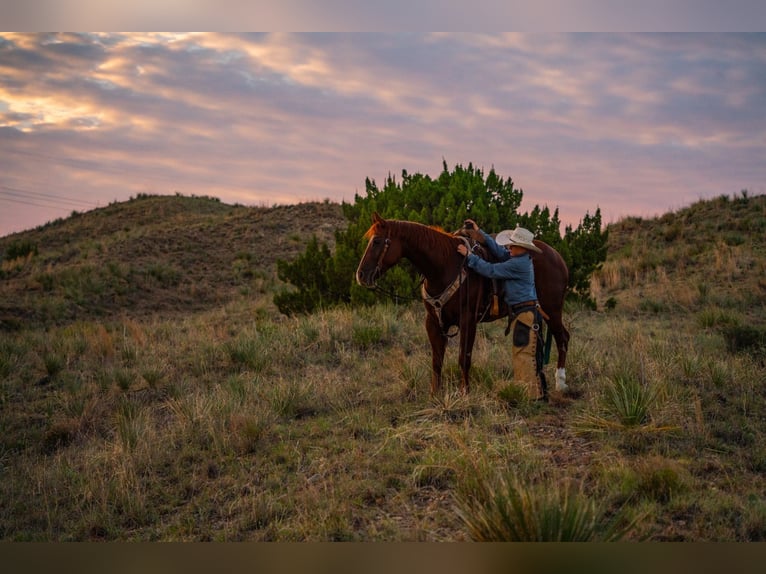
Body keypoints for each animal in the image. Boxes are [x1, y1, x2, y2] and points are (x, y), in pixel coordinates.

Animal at [355, 212, 570, 395]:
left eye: (377, 241)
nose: (361, 275)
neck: (444, 266)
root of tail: (558, 257)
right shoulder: (433, 322)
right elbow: (437, 360)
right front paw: (435, 394)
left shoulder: (468, 321)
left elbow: (463, 358)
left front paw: (465, 392)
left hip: (553, 310)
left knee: (562, 338)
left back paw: (560, 382)